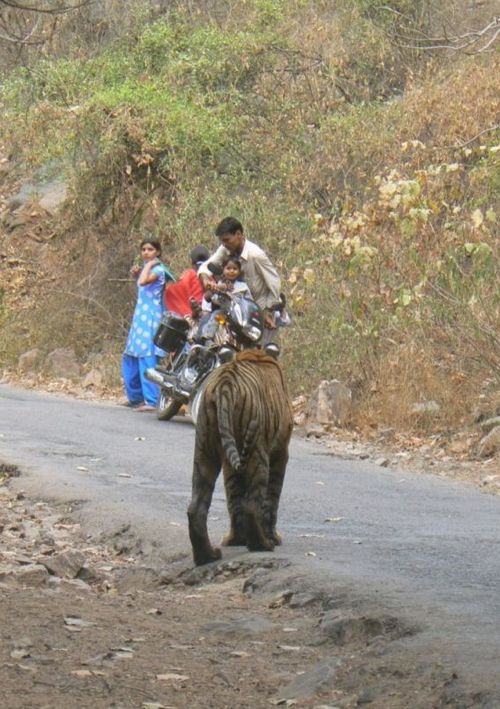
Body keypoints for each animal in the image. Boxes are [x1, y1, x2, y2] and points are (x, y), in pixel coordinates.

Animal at [188, 348, 292, 564]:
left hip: (204, 450)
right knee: (253, 504)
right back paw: (262, 545)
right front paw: (273, 537)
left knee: (197, 507)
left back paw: (207, 556)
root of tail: (225, 383)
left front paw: (236, 540)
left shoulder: (229, 463)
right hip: (257, 453)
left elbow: (234, 498)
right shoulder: (281, 451)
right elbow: (272, 498)